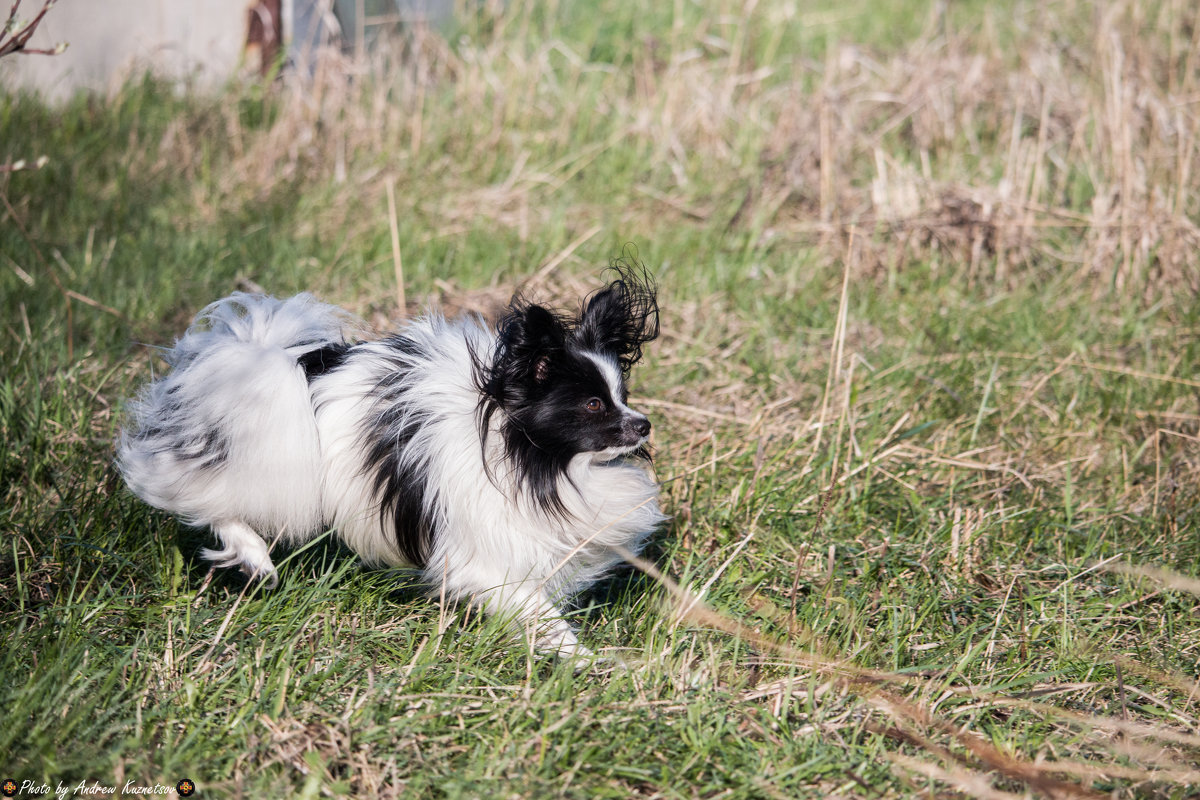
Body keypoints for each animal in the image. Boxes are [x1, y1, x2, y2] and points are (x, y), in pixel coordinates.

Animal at [118, 262, 667, 657]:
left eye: (622, 395)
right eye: (593, 405)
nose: (643, 424)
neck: (534, 462)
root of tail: (270, 359)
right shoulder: (486, 561)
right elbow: (541, 616)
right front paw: (589, 663)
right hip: (272, 459)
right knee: (203, 499)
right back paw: (255, 557)